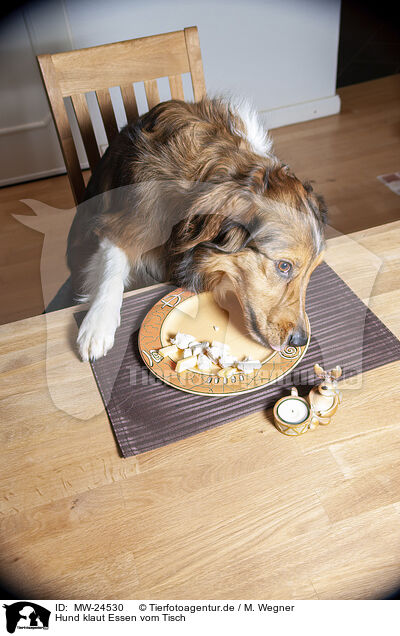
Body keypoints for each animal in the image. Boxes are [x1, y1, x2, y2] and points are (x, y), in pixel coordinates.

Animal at [67, 97, 326, 360]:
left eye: (312, 271)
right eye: (284, 266)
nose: (300, 341)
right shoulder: (125, 222)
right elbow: (111, 267)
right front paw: (98, 324)